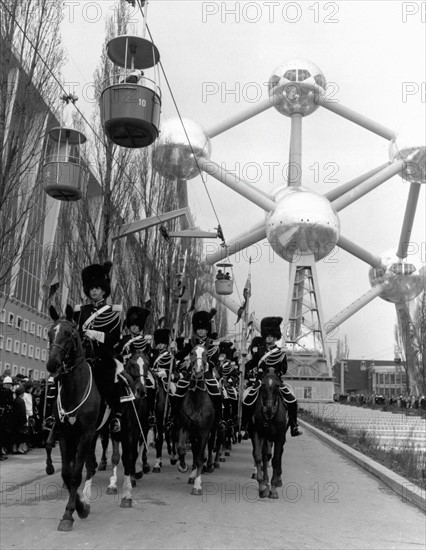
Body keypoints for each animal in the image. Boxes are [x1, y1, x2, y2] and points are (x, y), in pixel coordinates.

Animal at [176, 344, 216, 496]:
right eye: (192, 353)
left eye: (206, 354)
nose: (198, 371)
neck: (196, 400)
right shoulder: (185, 427)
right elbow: (181, 449)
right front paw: (183, 466)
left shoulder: (204, 432)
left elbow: (199, 457)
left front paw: (198, 486)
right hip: (193, 434)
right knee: (194, 451)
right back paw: (192, 474)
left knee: (207, 449)